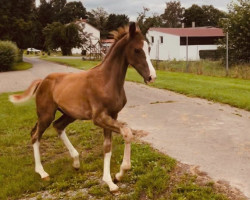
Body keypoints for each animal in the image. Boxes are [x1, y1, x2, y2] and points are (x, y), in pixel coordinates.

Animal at [9, 22, 156, 192]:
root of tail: (42, 81)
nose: (152, 77)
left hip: (69, 114)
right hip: (46, 114)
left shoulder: (112, 115)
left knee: (57, 126)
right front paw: (120, 173)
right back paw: (42, 172)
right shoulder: (99, 118)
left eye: (149, 48)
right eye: (137, 50)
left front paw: (113, 179)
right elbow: (127, 132)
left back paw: (76, 162)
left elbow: (107, 146)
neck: (106, 80)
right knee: (35, 135)